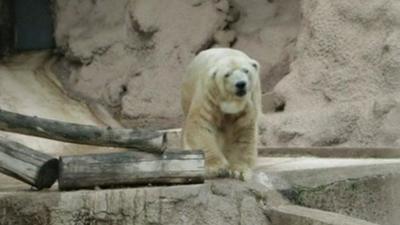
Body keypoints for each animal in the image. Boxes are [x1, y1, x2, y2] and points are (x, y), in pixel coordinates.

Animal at [181, 48, 262, 180]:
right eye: (227, 74)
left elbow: (243, 131)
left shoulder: (248, 102)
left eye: (246, 70)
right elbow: (201, 124)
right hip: (187, 93)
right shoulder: (209, 94)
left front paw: (239, 171)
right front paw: (216, 168)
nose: (241, 84)